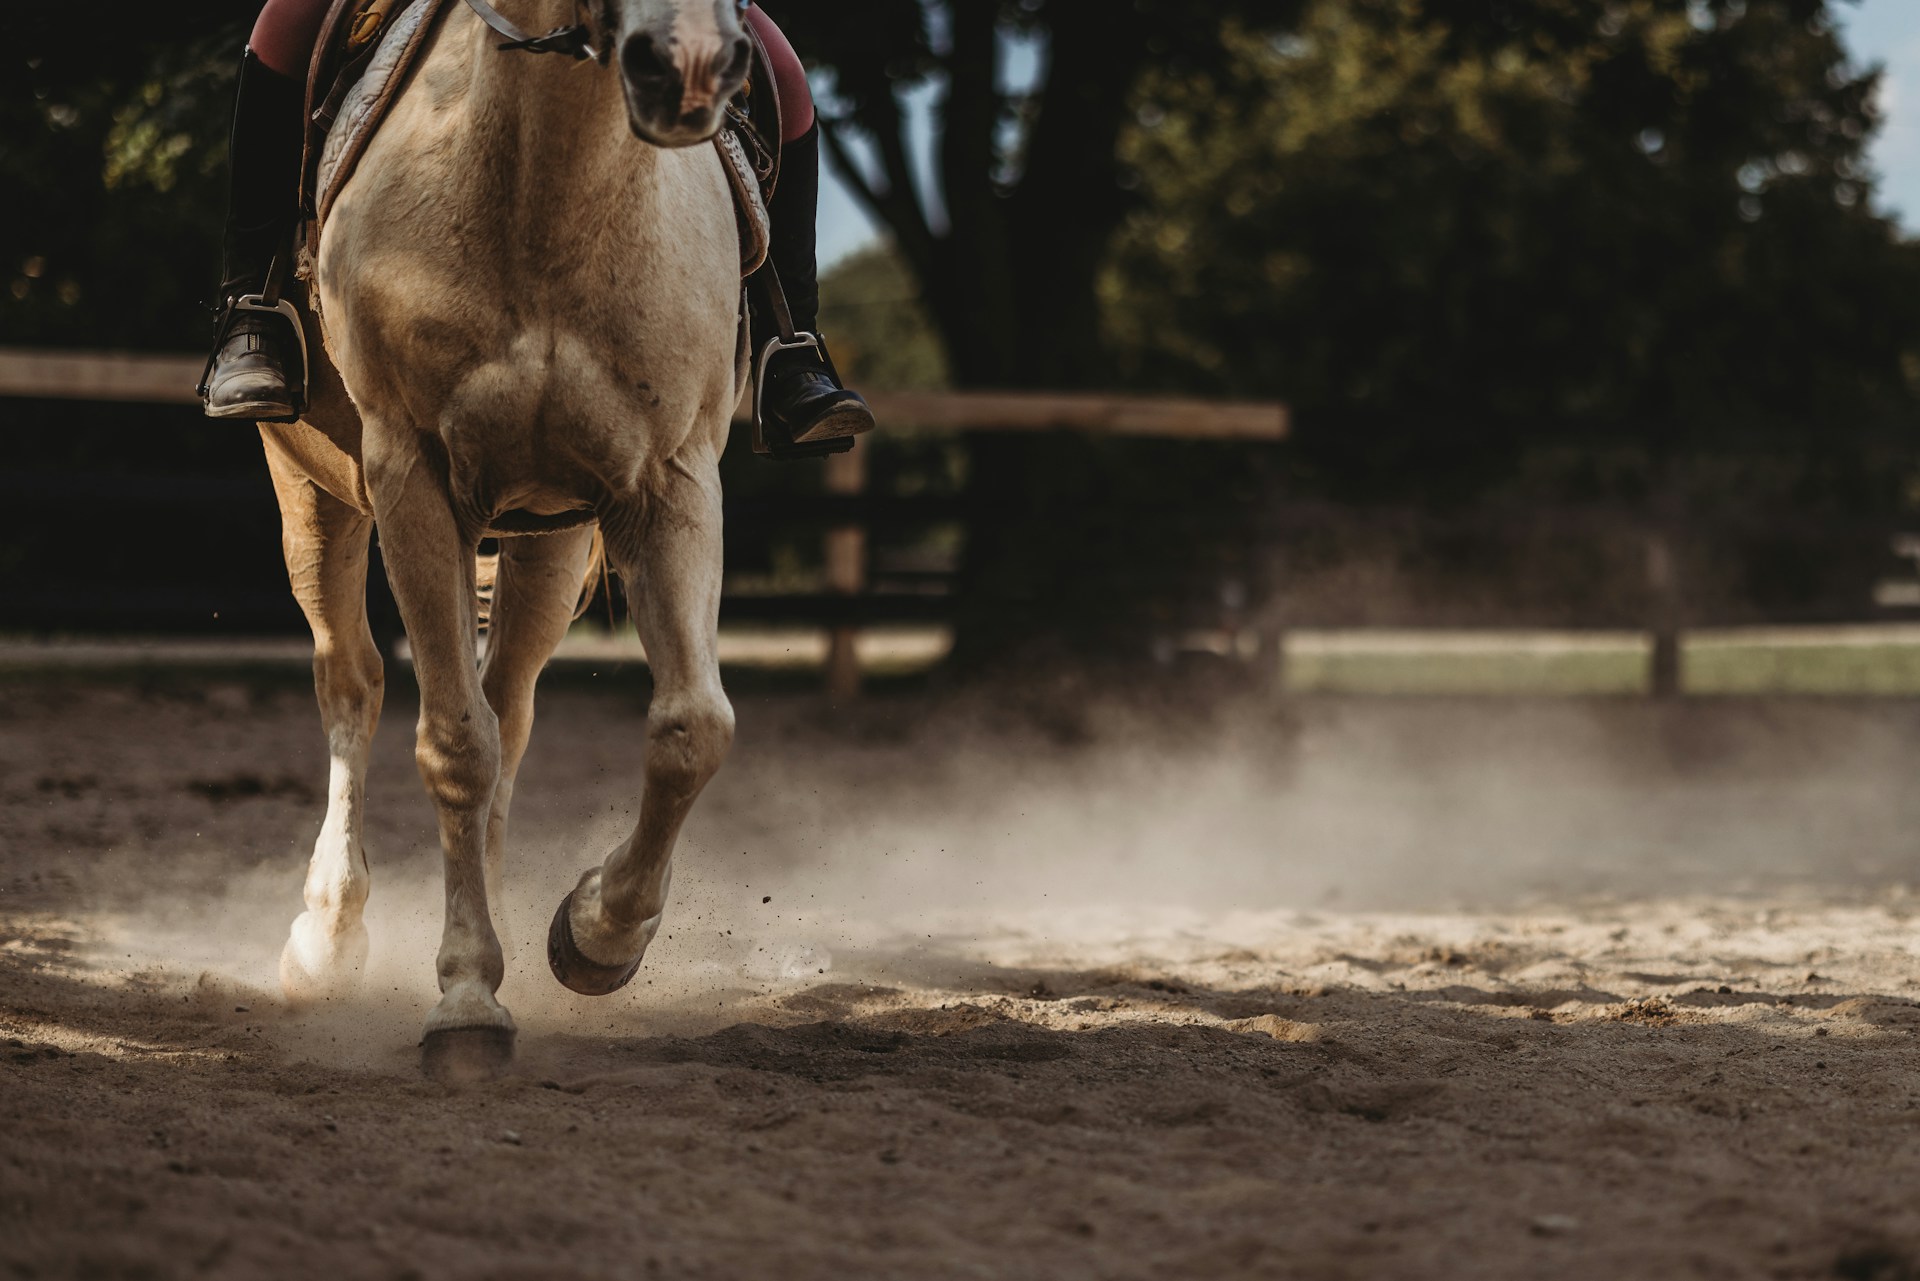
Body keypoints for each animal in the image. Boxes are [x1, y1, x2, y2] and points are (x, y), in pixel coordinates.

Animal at [258, 0, 752, 1078]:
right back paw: (325, 936)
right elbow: (453, 743)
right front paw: (466, 1001)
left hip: (547, 541)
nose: (690, 66)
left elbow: (691, 729)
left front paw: (596, 934)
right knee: (353, 683)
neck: (548, 184)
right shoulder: (410, 479)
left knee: (510, 708)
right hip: (312, 491)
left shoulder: (672, 479)